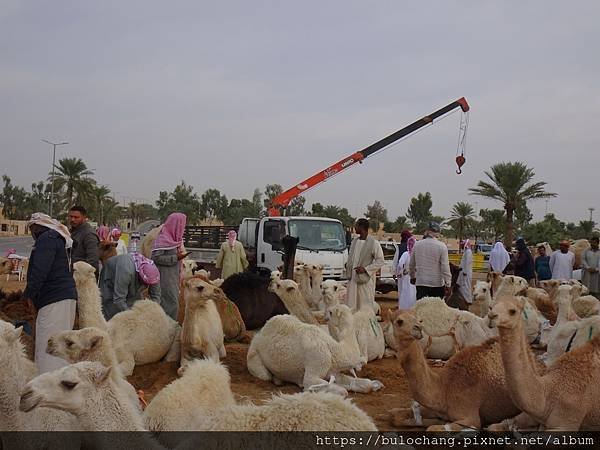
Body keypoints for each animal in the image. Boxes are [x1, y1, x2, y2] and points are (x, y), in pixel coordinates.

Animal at [390, 308, 520, 430]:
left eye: (419, 319)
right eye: (399, 321)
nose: (418, 328)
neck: (445, 387)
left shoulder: (470, 416)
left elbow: (433, 428)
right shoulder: (435, 408)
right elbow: (396, 416)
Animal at [490, 298, 600, 430]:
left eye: (513, 311)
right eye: (491, 306)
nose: (491, 316)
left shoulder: (568, 419)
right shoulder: (532, 414)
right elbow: (495, 426)